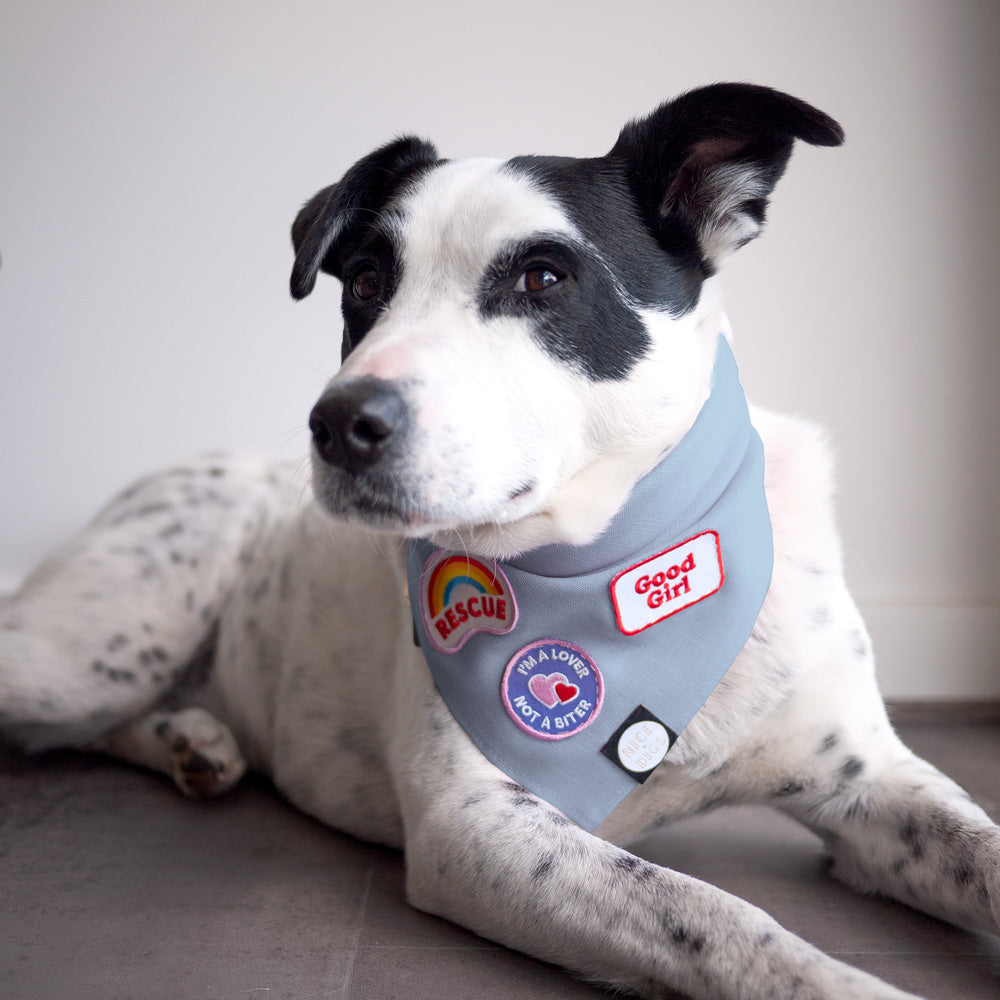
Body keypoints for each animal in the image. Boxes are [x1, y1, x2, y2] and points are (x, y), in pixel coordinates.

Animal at [1, 86, 1000, 1000]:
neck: (631, 570)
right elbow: (717, 914)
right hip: (94, 650)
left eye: (543, 279)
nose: (338, 425)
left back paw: (194, 741)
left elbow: (979, 848)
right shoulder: (481, 827)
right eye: (365, 283)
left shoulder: (869, 780)